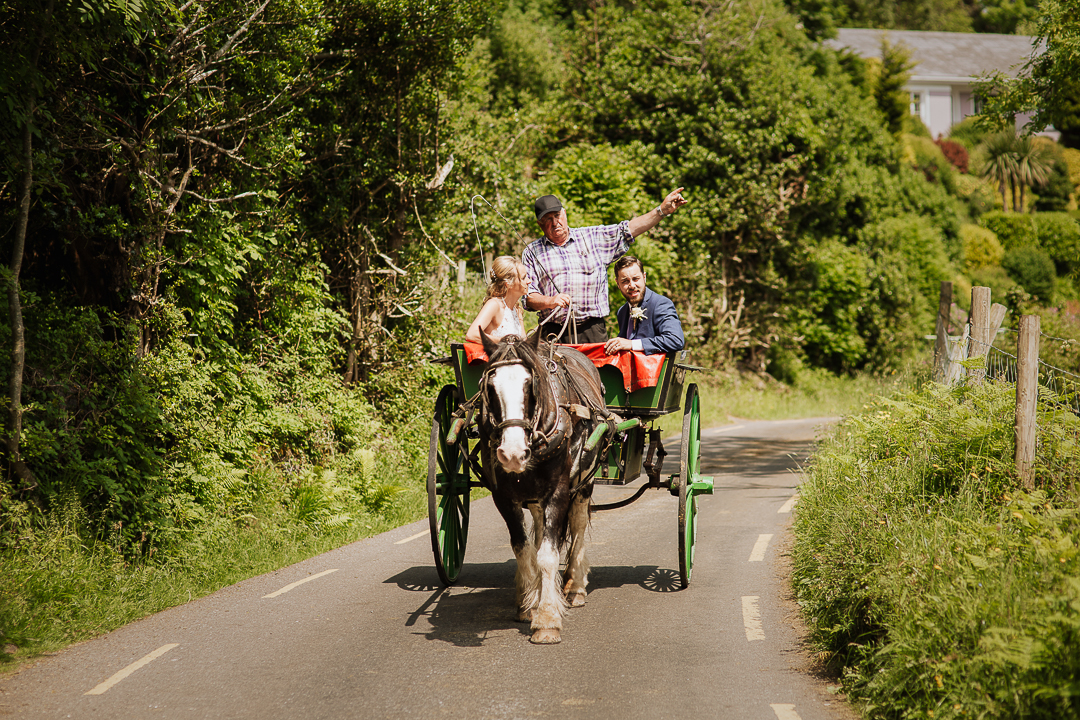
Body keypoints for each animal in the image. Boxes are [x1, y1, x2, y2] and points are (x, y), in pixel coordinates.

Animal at [477, 328, 611, 644]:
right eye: (490, 386)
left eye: (530, 384)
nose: (512, 453)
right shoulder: (503, 497)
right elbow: (524, 549)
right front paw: (529, 603)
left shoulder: (559, 492)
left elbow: (548, 555)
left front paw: (547, 618)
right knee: (539, 531)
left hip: (584, 483)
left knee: (576, 526)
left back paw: (575, 586)